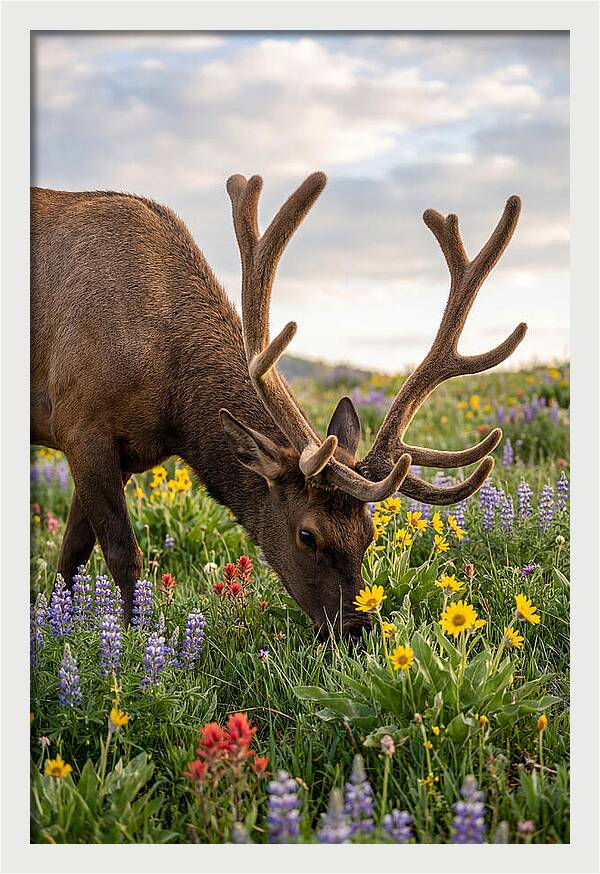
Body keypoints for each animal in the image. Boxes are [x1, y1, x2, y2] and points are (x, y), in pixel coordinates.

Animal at [31, 172, 527, 638]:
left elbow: (71, 556)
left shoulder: (126, 453)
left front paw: (58, 626)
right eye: (307, 535)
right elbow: (121, 555)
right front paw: (129, 640)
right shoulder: (81, 424)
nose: (357, 630)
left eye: (369, 533)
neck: (172, 403)